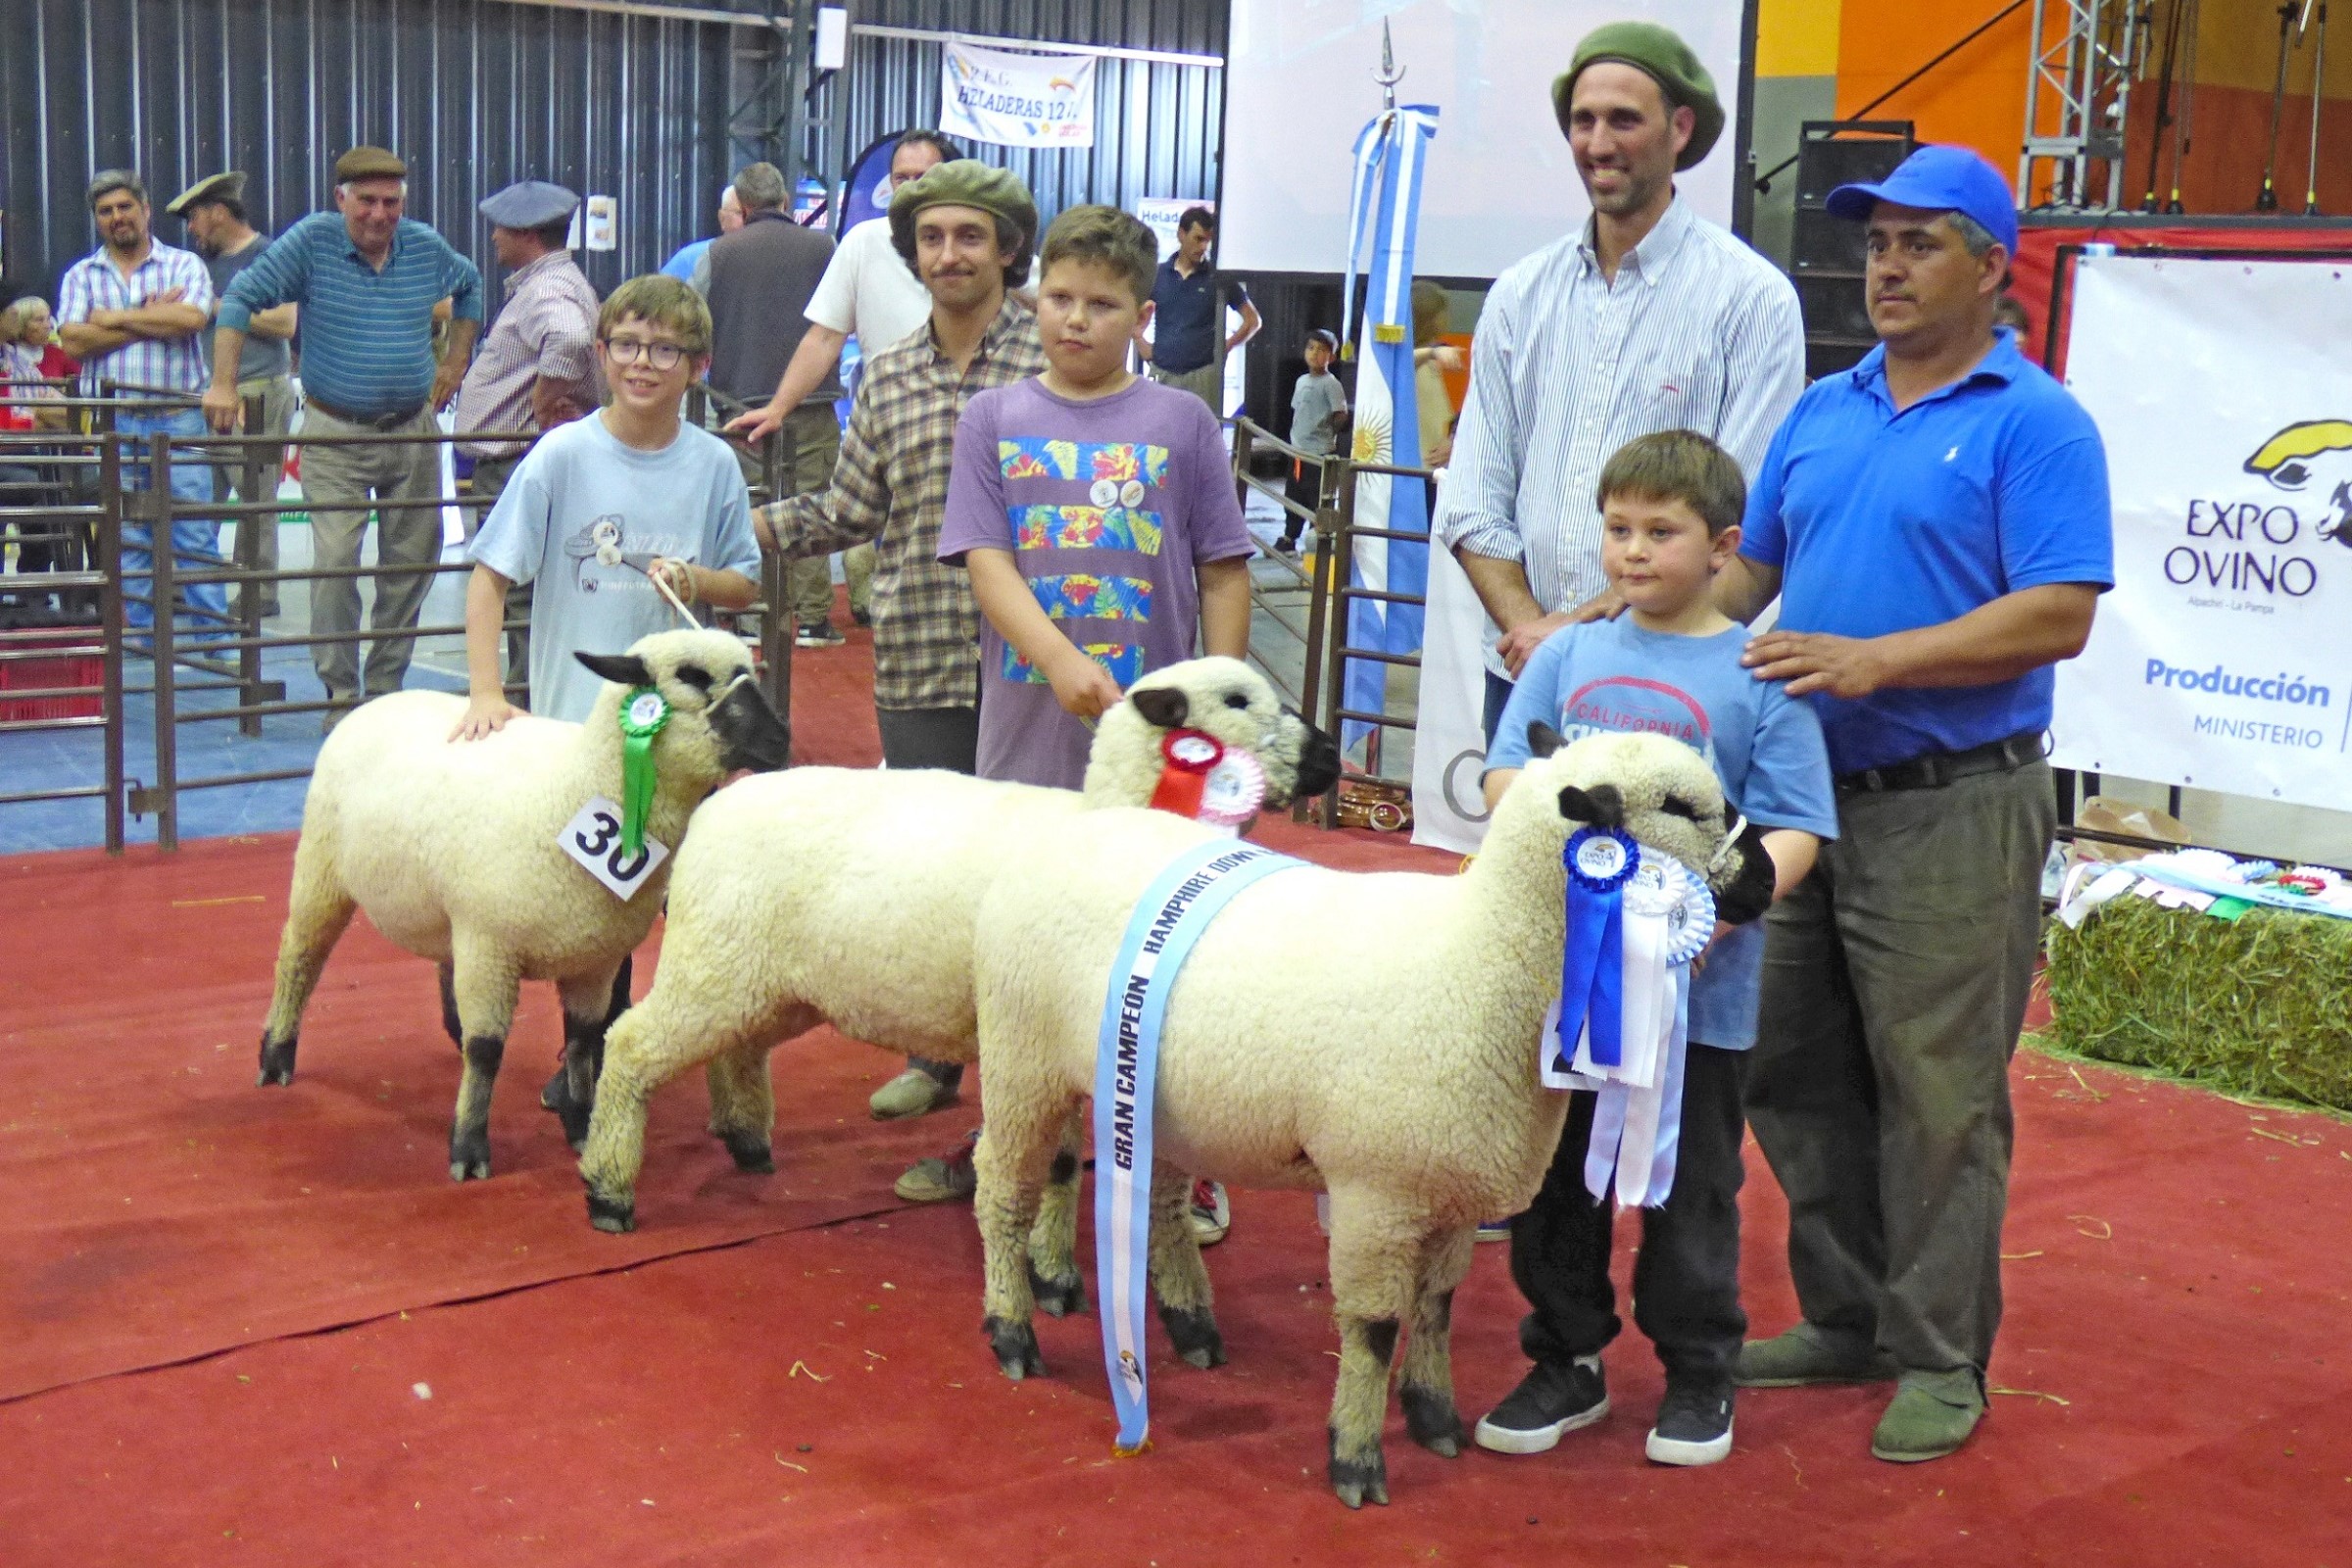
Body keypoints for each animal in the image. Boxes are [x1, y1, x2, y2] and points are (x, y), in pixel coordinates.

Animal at [253, 625, 790, 1175]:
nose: (781, 738)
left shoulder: (594, 958)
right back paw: (277, 1054)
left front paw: (580, 1124)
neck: (574, 785)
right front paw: (469, 1147)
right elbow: (487, 1050)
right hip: (322, 869)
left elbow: (581, 1041)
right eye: (693, 677)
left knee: (442, 966)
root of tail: (379, 701)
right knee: (300, 957)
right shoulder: (490, 946)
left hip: (447, 911)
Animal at [573, 653, 1345, 1278]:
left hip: (769, 981)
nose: (1332, 755)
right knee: (632, 1046)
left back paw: (747, 1144)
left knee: (735, 1049)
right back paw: (609, 1191)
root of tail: (718, 806)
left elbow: (1061, 1163)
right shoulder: (1035, 1043)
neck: (1109, 820)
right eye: (1237, 701)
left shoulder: (1058, 1050)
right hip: (715, 961)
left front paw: (1047, 1265)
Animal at [959, 728, 1768, 1513]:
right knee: (1002, 1190)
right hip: (1021, 1057)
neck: (1481, 960)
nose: (1764, 877)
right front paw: (1356, 1455)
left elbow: (1437, 1306)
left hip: (1163, 1097)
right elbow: (1376, 1329)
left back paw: (1190, 1325)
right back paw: (1012, 1330)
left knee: (1155, 1203)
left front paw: (1434, 1416)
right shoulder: (1377, 1195)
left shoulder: (1449, 1187)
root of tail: (1085, 823)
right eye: (1678, 805)